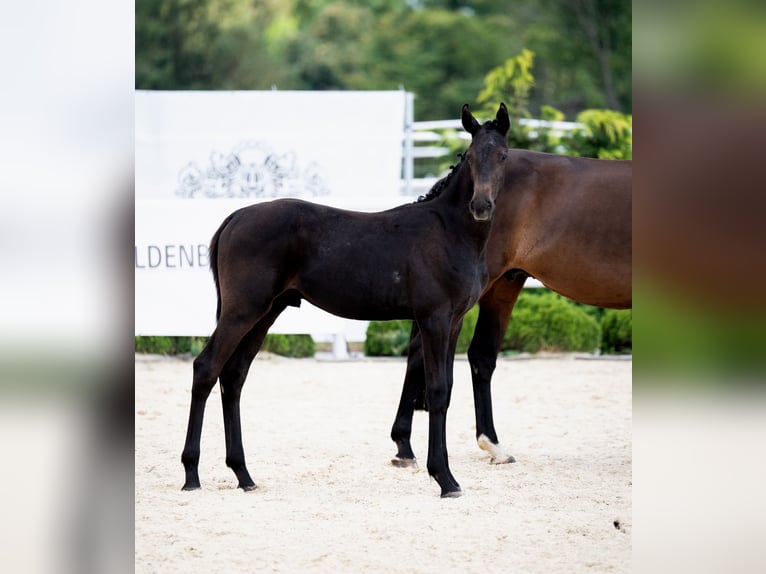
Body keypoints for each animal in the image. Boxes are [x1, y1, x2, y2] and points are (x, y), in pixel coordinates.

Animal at [182, 103, 512, 500]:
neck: (449, 231)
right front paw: (445, 479)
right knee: (206, 369)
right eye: (471, 156)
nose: (481, 205)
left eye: (503, 155)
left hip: (264, 314)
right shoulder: (434, 318)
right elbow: (436, 392)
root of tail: (234, 217)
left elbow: (445, 389)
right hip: (241, 311)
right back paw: (191, 474)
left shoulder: (454, 321)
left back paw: (243, 475)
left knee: (233, 377)